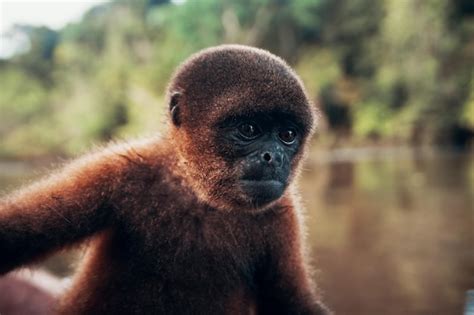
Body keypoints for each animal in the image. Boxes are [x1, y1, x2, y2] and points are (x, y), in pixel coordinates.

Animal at [0, 45, 330, 315]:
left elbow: (292, 301)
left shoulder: (283, 214)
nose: (274, 157)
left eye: (287, 135)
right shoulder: (116, 172)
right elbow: (19, 232)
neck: (196, 193)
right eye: (249, 129)